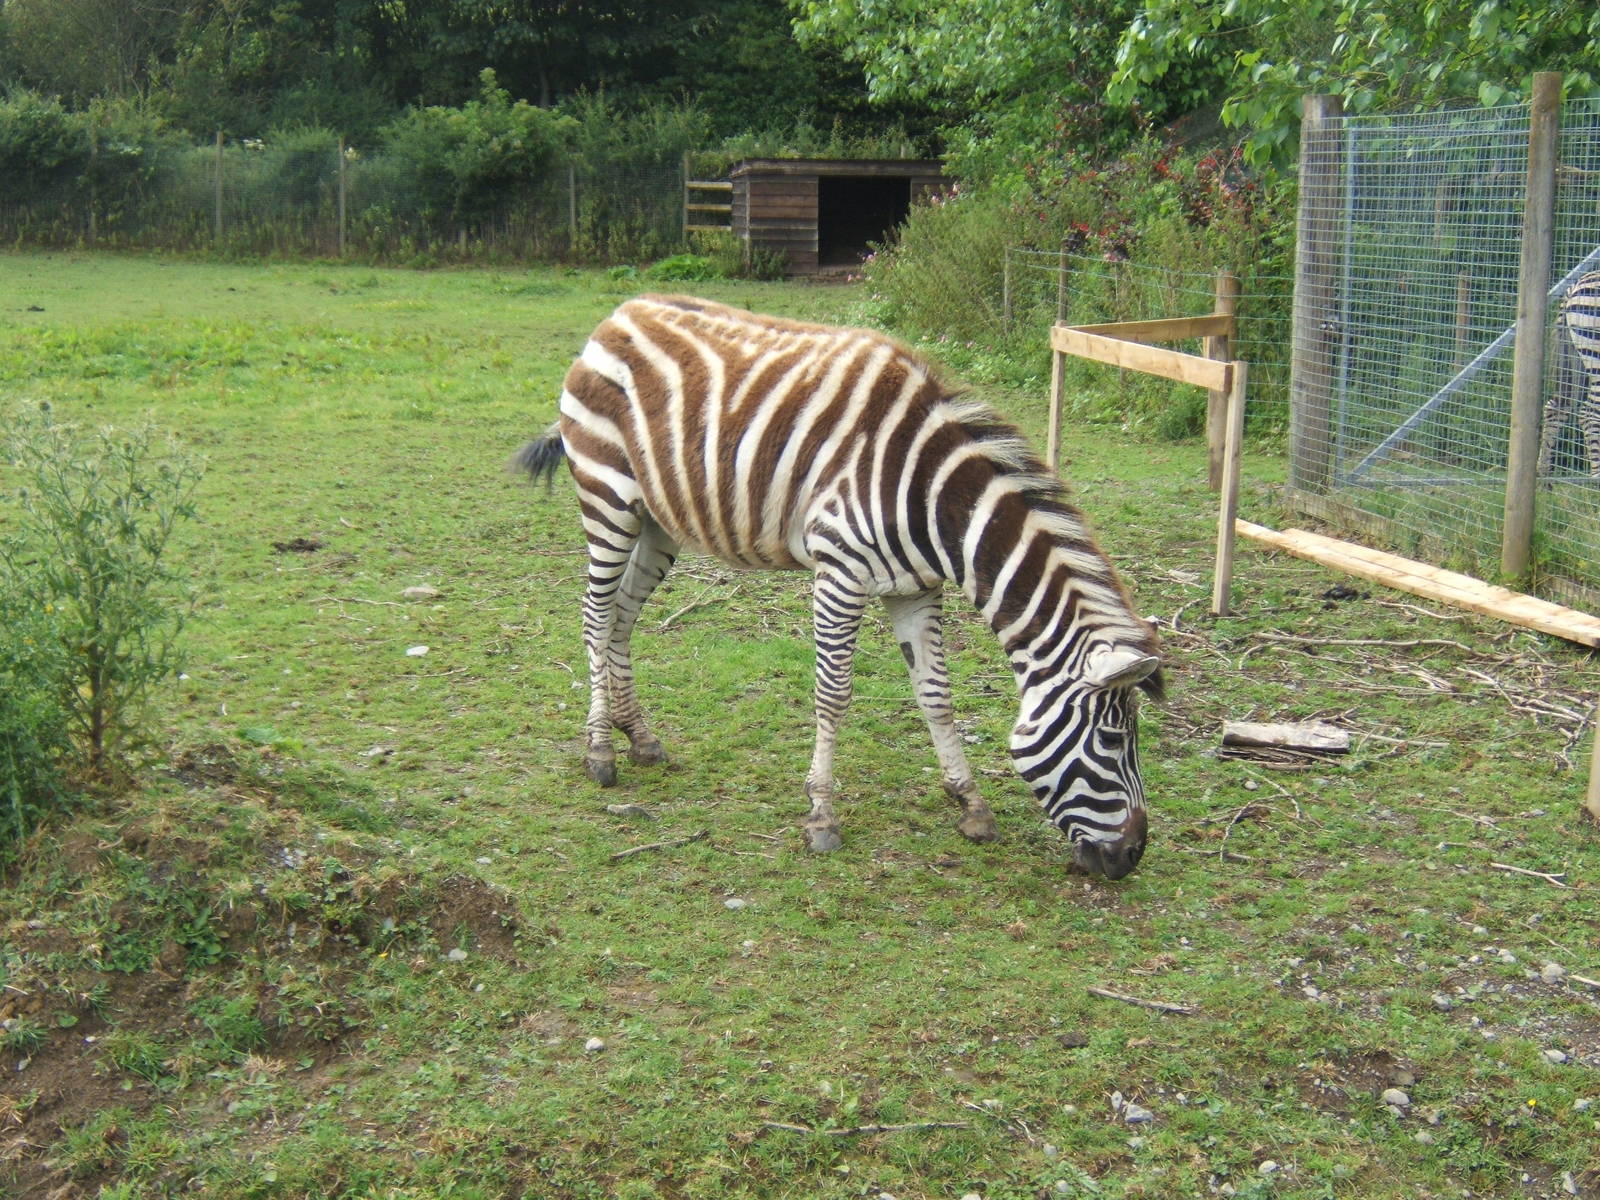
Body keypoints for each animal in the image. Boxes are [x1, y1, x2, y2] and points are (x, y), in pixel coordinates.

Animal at [515, 295, 1164, 879]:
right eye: (1112, 741)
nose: (1132, 857)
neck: (932, 501)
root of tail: (618, 315)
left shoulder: (915, 588)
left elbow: (935, 694)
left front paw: (970, 804)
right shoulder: (840, 576)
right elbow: (833, 694)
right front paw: (822, 815)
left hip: (657, 520)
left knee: (622, 617)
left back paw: (640, 737)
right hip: (608, 495)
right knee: (596, 615)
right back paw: (600, 750)